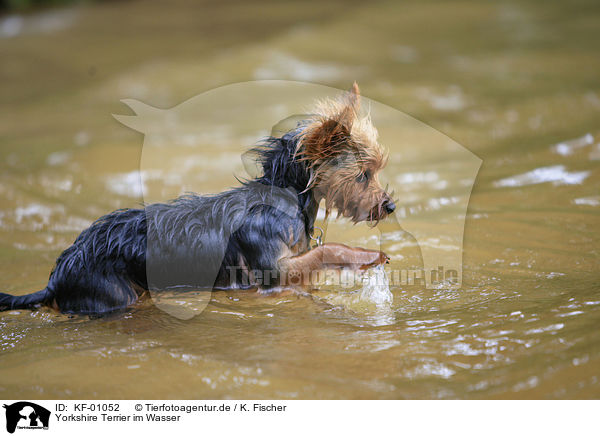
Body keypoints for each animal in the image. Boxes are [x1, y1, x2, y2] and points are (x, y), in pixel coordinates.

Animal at [0, 82, 396, 314]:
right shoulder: (272, 273)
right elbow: (327, 251)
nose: (390, 205)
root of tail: (58, 274)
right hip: (114, 295)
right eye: (364, 174)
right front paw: (367, 256)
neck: (283, 193)